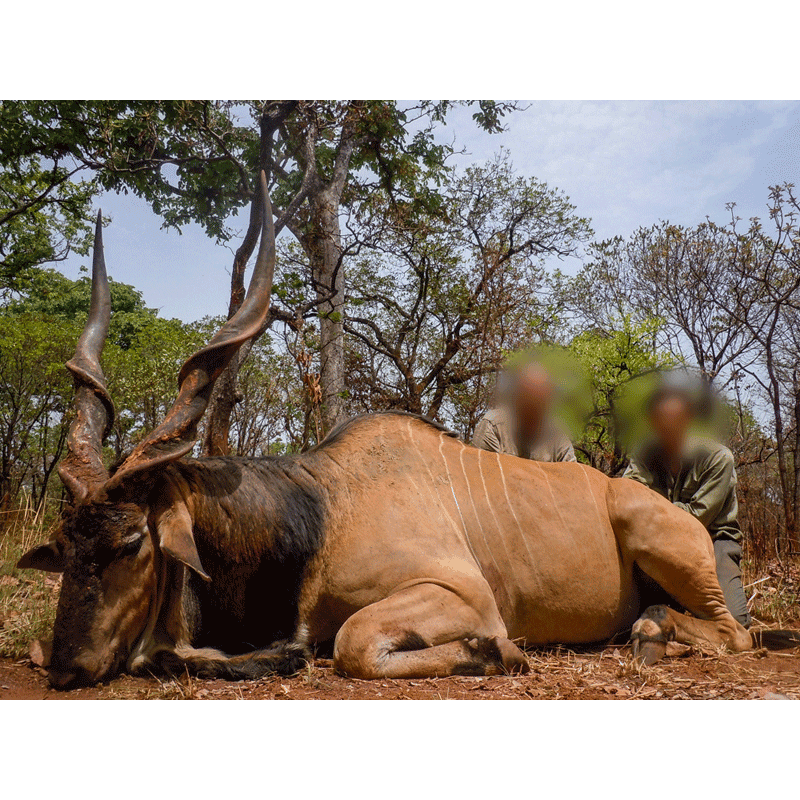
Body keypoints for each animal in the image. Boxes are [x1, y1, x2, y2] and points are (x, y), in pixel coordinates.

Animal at [15, 172, 796, 684]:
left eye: (130, 544)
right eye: (65, 544)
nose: (67, 669)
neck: (318, 512)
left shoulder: (463, 595)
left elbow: (353, 644)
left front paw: (495, 653)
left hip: (661, 538)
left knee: (736, 636)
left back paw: (655, 635)